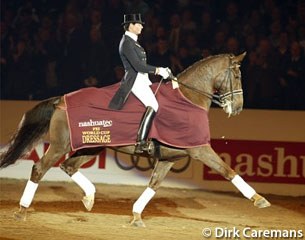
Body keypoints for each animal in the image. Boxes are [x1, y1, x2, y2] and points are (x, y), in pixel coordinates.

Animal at [0, 53, 270, 227]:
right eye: (237, 75)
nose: (238, 108)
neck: (188, 99)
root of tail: (60, 99)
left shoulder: (170, 158)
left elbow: (154, 185)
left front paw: (137, 216)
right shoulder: (199, 149)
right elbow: (228, 170)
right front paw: (259, 200)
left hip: (91, 146)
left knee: (68, 166)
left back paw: (90, 197)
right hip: (59, 145)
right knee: (40, 168)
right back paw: (22, 211)